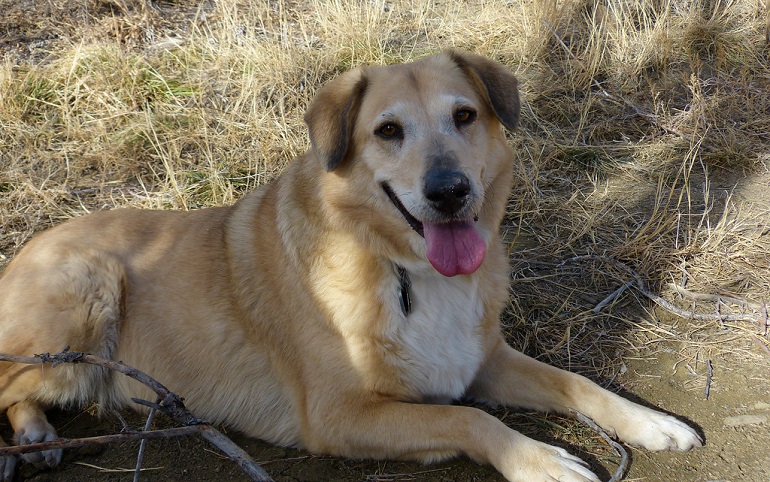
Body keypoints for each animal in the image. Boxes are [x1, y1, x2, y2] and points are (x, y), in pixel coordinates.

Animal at [0, 50, 700, 480]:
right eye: (388, 131)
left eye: (465, 116)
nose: (450, 191)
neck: (404, 270)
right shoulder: (344, 416)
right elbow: (469, 417)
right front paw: (544, 461)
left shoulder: (485, 359)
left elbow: (577, 384)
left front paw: (651, 423)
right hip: (87, 294)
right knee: (12, 382)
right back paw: (32, 436)